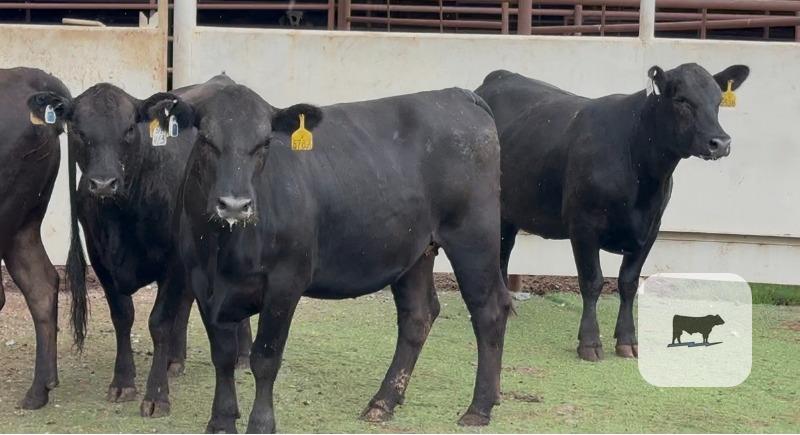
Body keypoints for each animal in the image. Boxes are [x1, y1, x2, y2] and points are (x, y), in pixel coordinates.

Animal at [26, 74, 252, 417]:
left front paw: (157, 394)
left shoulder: (173, 261)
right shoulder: (101, 259)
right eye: (79, 130)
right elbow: (123, 316)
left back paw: (243, 355)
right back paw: (175, 358)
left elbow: (159, 322)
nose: (103, 184)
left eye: (129, 129)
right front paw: (123, 382)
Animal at [139, 83, 512, 432]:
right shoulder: (203, 281)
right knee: (417, 316)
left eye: (264, 143)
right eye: (206, 139)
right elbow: (223, 356)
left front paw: (261, 423)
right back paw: (383, 401)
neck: (223, 249)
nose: (234, 204)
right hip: (415, 251)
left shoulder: (285, 282)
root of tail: (456, 95)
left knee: (489, 311)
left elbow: (265, 357)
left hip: (473, 238)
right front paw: (221, 420)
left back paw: (478, 407)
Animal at [475, 63, 749, 361]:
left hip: (511, 211)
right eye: (682, 100)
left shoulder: (651, 229)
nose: (721, 142)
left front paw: (628, 340)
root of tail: (499, 76)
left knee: (504, 251)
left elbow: (628, 283)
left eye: (718, 101)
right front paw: (590, 343)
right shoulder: (583, 225)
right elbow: (592, 282)